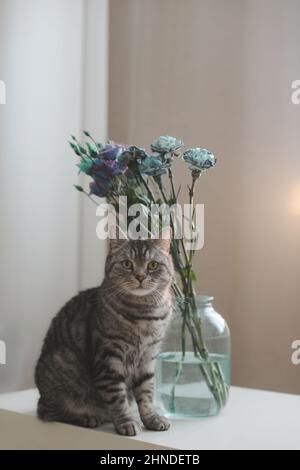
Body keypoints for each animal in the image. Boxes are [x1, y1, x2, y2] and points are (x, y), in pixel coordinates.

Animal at [34, 233, 173, 436]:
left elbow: (146, 394)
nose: (140, 276)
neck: (145, 314)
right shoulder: (109, 360)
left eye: (153, 265)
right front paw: (126, 423)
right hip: (63, 360)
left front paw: (152, 419)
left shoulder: (148, 358)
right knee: (47, 411)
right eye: (127, 264)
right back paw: (87, 418)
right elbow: (118, 399)